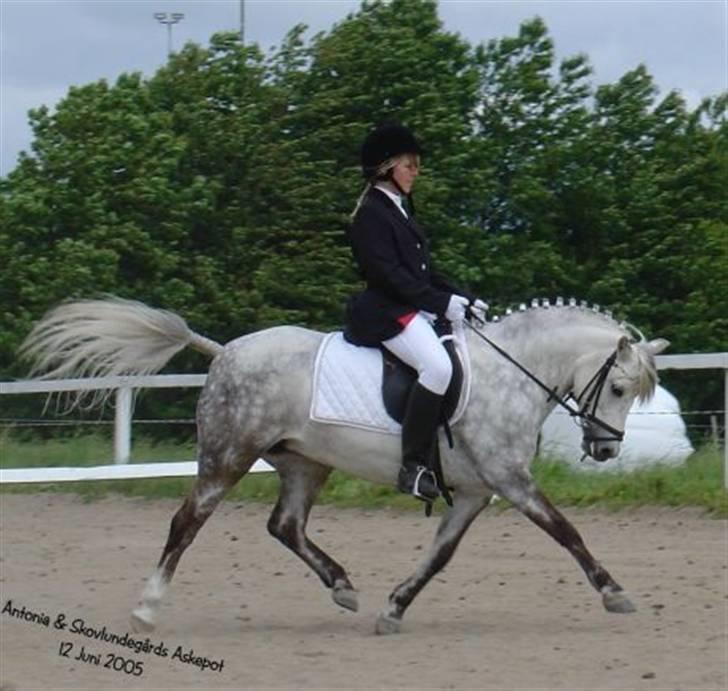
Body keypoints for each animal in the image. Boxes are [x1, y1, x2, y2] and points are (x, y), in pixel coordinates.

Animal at [19, 297, 668, 635]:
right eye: (616, 387)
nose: (607, 450)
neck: (510, 374)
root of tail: (225, 350)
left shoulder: (475, 491)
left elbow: (440, 555)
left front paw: (394, 608)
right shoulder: (511, 481)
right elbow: (566, 531)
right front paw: (615, 593)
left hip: (305, 464)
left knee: (285, 526)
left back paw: (343, 587)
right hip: (228, 455)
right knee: (187, 522)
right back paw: (147, 607)